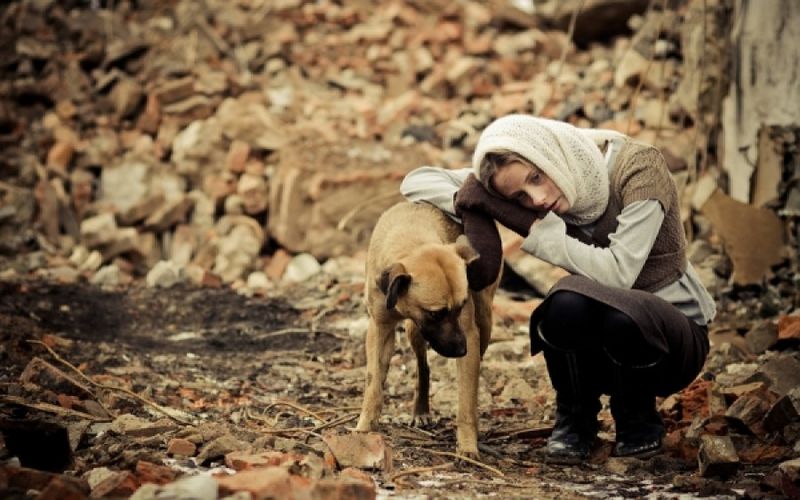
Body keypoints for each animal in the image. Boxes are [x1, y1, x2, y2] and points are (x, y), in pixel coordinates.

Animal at [354, 201, 496, 458]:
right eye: (435, 313)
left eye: (461, 306)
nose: (461, 350)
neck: (412, 239)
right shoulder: (379, 329)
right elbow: (373, 385)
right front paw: (365, 428)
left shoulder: (469, 332)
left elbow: (466, 402)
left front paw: (467, 445)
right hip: (414, 332)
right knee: (423, 367)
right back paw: (420, 409)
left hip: (485, 322)